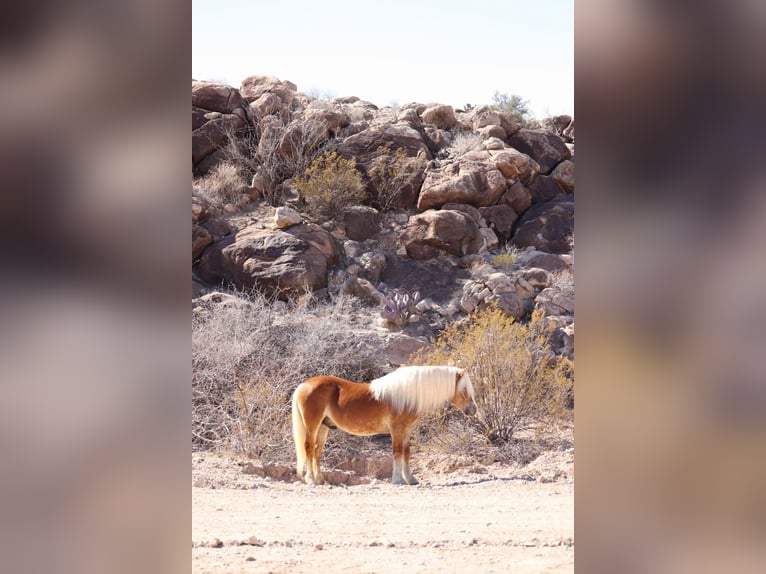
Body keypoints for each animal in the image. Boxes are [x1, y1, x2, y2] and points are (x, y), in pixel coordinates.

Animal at [292, 364, 476, 486]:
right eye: (464, 390)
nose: (473, 410)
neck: (408, 396)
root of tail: (304, 385)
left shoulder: (406, 431)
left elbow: (406, 453)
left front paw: (411, 479)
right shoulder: (396, 430)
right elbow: (397, 453)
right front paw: (398, 480)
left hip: (324, 427)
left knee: (317, 451)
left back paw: (320, 480)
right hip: (313, 425)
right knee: (309, 448)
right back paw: (311, 480)